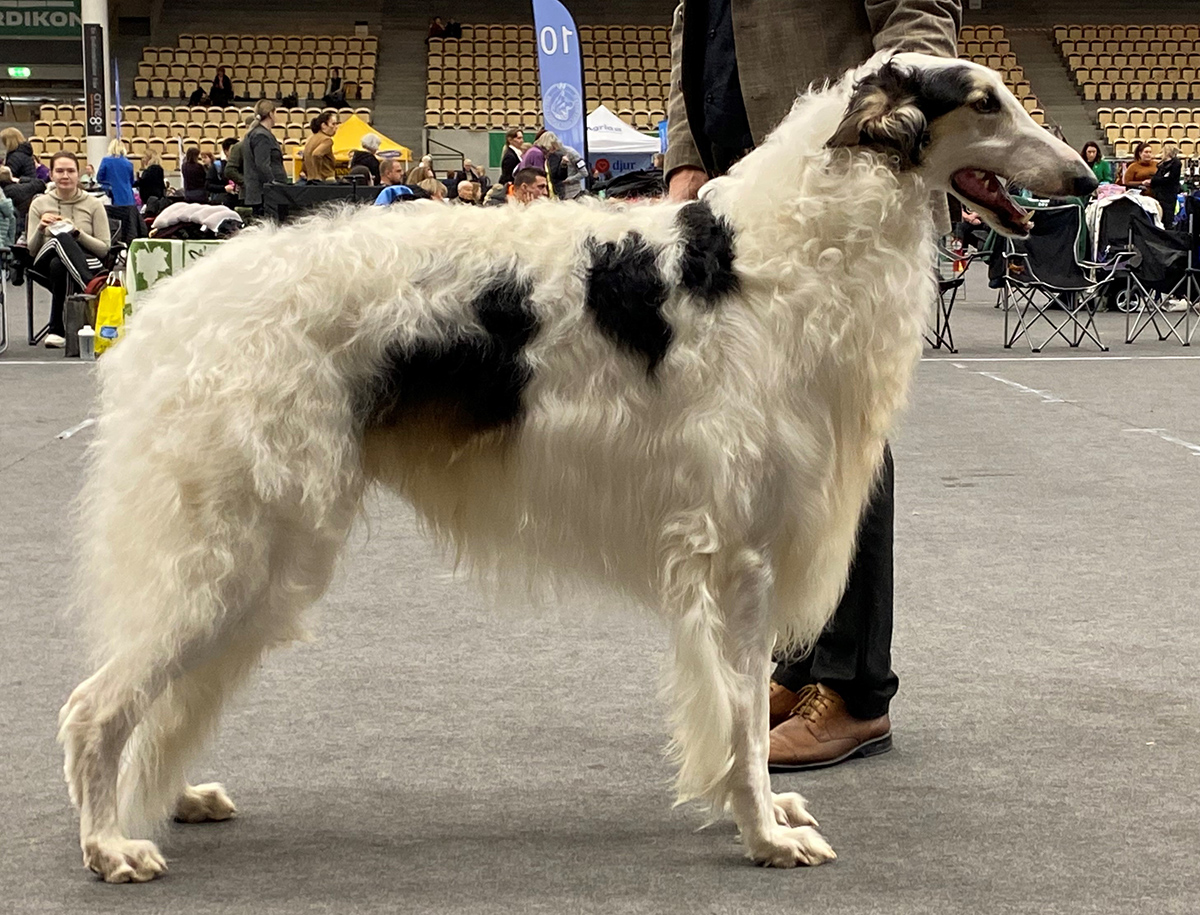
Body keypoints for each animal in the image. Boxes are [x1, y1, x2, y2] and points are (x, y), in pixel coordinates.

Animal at [58, 55, 1099, 878]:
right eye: (986, 102)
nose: (1086, 175)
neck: (781, 251)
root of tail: (173, 300)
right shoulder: (738, 553)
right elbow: (743, 722)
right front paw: (764, 832)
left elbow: (746, 719)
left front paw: (764, 812)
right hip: (235, 541)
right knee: (92, 707)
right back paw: (109, 843)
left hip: (261, 550)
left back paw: (176, 795)